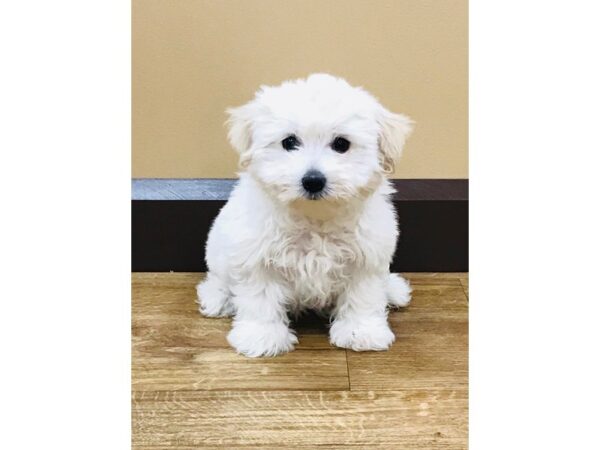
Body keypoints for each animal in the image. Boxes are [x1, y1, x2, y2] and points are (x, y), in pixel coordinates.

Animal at [197, 73, 412, 356]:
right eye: (289, 142)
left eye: (341, 144)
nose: (313, 180)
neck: (314, 218)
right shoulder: (256, 256)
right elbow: (260, 298)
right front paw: (261, 336)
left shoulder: (367, 255)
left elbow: (362, 294)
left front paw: (361, 331)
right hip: (219, 250)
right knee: (218, 277)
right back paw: (218, 298)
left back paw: (393, 289)